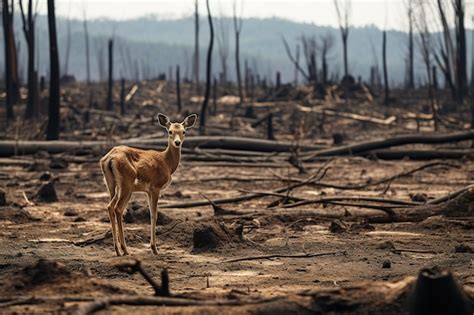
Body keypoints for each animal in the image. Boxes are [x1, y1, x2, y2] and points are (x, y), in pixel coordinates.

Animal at [99, 113, 197, 256]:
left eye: (184, 131)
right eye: (170, 131)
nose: (177, 142)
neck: (167, 163)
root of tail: (109, 158)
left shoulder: (147, 191)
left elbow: (151, 213)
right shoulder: (155, 187)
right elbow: (154, 215)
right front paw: (155, 249)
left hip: (112, 185)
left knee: (110, 206)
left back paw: (117, 250)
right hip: (126, 184)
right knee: (117, 208)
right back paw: (125, 249)